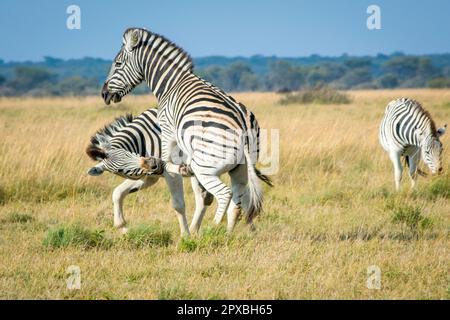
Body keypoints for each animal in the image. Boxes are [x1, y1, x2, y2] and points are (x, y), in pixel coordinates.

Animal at [89, 107, 215, 235]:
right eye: (123, 171)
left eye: (128, 153)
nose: (156, 165)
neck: (146, 139)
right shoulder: (150, 177)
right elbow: (118, 192)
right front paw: (122, 227)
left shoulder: (171, 173)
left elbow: (178, 204)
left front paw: (185, 235)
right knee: (203, 198)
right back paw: (195, 230)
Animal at [101, 27, 270, 232]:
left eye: (117, 64)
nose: (104, 94)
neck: (171, 82)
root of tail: (242, 125)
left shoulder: (167, 128)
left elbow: (167, 158)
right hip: (240, 168)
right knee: (238, 201)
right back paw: (228, 234)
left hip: (205, 167)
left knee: (224, 194)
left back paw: (214, 228)